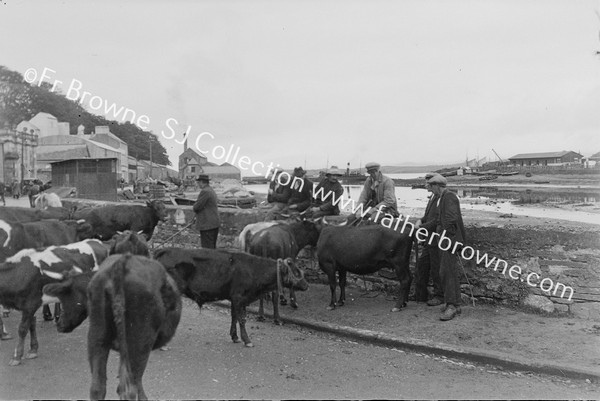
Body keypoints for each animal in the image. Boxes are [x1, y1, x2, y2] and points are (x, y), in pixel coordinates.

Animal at [43, 255, 182, 398]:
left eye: (63, 299)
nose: (59, 324)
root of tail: (122, 262)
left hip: (97, 336)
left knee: (98, 387)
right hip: (140, 343)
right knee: (131, 387)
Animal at [155, 245, 310, 346]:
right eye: (296, 271)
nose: (306, 285)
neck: (254, 269)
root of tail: (165, 250)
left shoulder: (237, 299)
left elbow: (234, 317)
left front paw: (235, 337)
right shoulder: (238, 297)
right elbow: (242, 319)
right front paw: (247, 340)